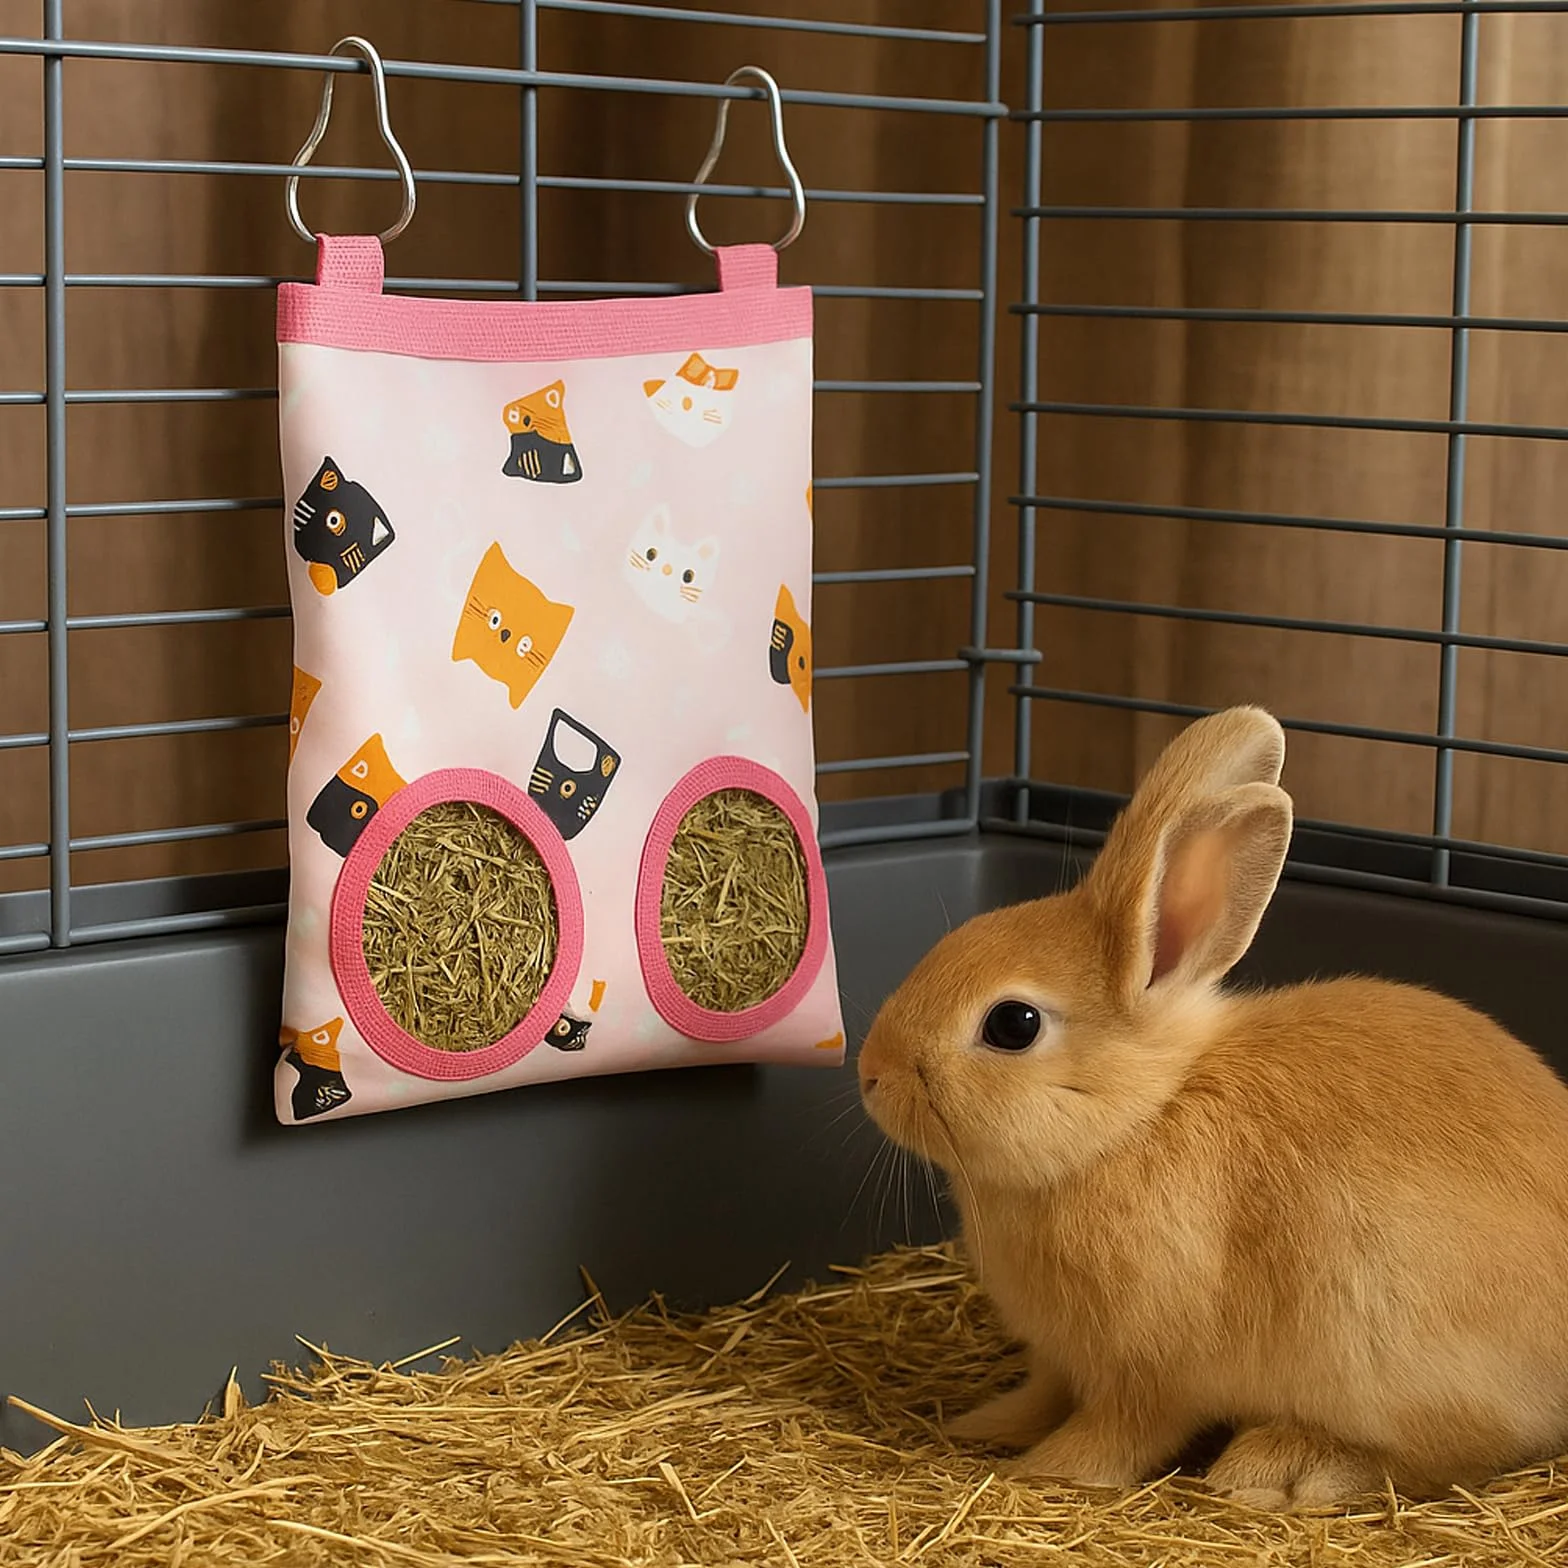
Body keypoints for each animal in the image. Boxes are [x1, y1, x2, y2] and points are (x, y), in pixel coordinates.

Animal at [857, 705, 1568, 1510]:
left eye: (1014, 1024)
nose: (871, 1073)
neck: (1137, 1119)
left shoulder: (1149, 1371)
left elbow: (1119, 1433)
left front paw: (1041, 1470)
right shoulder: (1060, 1360)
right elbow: (1041, 1394)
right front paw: (983, 1425)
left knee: (1440, 1457)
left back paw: (1281, 1469)